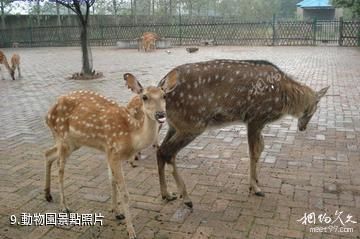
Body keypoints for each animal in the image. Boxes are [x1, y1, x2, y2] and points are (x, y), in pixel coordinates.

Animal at [44, 73, 178, 239]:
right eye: (145, 97)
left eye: (164, 95)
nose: (160, 114)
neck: (131, 137)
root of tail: (47, 115)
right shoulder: (114, 152)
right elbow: (125, 193)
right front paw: (131, 231)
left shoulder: (108, 151)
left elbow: (111, 180)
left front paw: (117, 212)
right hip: (62, 136)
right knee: (60, 169)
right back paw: (64, 206)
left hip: (73, 142)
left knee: (48, 153)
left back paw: (48, 195)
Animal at [155, 59, 330, 207]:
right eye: (314, 109)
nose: (303, 128)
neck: (285, 98)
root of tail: (162, 83)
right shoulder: (255, 118)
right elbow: (254, 152)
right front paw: (255, 188)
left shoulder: (257, 122)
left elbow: (260, 148)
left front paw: (256, 182)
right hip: (193, 123)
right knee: (167, 152)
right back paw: (186, 197)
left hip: (175, 125)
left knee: (160, 150)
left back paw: (167, 194)